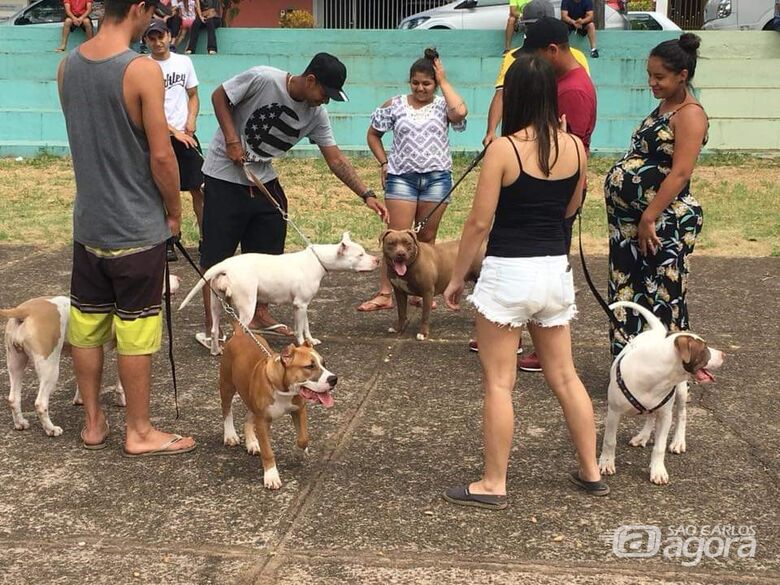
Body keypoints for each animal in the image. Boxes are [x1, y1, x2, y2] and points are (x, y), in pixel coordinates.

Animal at [0, 274, 180, 434]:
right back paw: (51, 429)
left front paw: (80, 400)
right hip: (49, 368)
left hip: (15, 363)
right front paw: (122, 401)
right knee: (40, 403)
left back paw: (20, 423)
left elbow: (83, 380)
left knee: (13, 398)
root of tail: (24, 310)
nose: (179, 278)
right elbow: (120, 384)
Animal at [218, 320, 336, 488]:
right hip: (227, 386)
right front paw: (271, 476)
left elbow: (303, 437)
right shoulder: (262, 421)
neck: (283, 389)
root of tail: (240, 333)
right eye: (309, 366)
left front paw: (298, 452)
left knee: (247, 418)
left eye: (324, 363)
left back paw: (252, 443)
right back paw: (230, 435)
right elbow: (268, 452)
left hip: (251, 400)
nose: (334, 379)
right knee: (227, 410)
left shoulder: (299, 410)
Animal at [596, 302, 724, 484]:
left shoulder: (665, 415)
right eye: (704, 349)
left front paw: (657, 471)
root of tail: (656, 331)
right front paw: (606, 463)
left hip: (681, 392)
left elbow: (659, 447)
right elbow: (609, 440)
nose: (723, 354)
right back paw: (642, 436)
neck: (656, 372)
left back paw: (678, 441)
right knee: (650, 415)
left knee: (682, 414)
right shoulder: (614, 411)